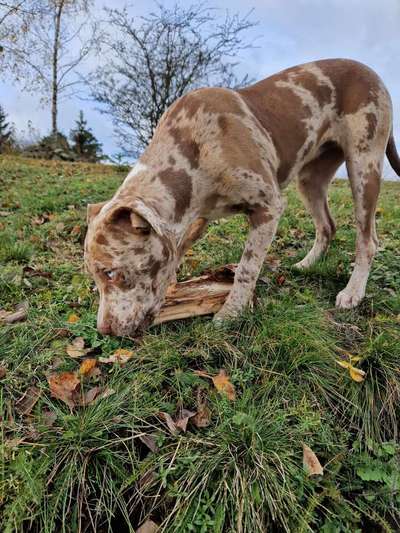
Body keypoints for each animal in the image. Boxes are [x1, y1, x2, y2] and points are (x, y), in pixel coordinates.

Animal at [85, 57, 400, 332]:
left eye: (111, 273)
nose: (104, 330)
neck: (193, 147)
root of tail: (370, 71)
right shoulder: (196, 217)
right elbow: (178, 250)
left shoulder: (268, 207)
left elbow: (246, 269)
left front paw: (230, 313)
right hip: (310, 179)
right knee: (327, 225)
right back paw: (306, 264)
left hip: (364, 166)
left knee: (368, 240)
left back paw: (353, 292)